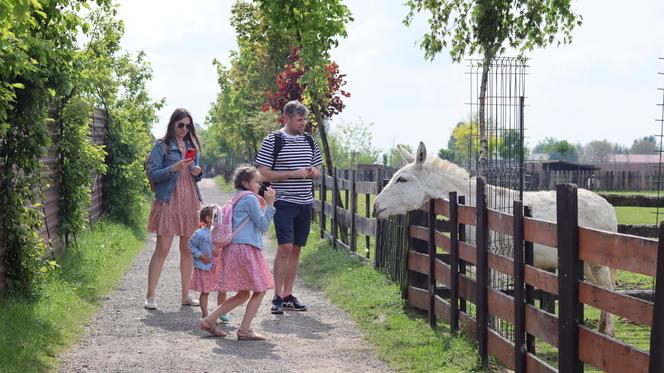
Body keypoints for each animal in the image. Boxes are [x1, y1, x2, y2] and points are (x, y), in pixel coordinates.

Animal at [374, 142, 616, 334]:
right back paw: (602, 329)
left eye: (402, 180)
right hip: (586, 266)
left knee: (610, 291)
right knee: (601, 291)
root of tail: (608, 205)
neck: (474, 206)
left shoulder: (496, 259)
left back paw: (608, 333)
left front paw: (495, 333)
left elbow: (494, 294)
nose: (376, 207)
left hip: (597, 264)